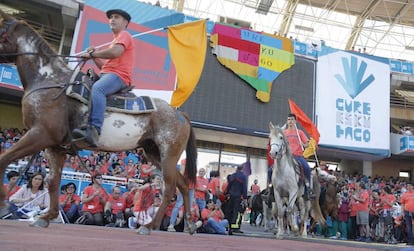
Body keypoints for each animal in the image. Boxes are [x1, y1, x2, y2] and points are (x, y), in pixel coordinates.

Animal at [0, 10, 197, 235]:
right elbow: (53, 181)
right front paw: (46, 217)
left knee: (170, 188)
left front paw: (4, 201)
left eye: (1, 31)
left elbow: (5, 158)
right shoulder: (54, 146)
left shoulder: (39, 134)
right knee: (183, 185)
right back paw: (189, 224)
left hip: (168, 154)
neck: (49, 80)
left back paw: (149, 226)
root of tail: (180, 115)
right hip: (154, 153)